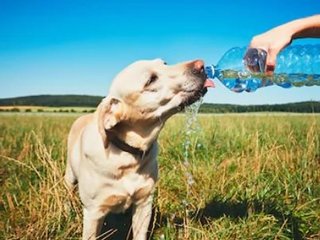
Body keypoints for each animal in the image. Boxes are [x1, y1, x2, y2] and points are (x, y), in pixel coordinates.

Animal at [64, 58, 214, 240]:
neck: (128, 155)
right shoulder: (93, 212)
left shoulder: (144, 203)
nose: (201, 64)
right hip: (70, 177)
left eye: (164, 63)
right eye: (150, 80)